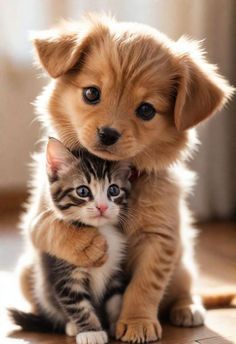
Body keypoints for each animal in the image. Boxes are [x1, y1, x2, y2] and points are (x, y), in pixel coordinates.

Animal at [9, 138, 131, 344]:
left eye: (113, 190)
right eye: (82, 191)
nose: (102, 207)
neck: (102, 230)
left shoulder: (116, 271)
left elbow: (115, 299)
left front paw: (116, 323)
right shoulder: (63, 272)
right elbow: (78, 305)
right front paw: (91, 332)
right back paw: (71, 326)